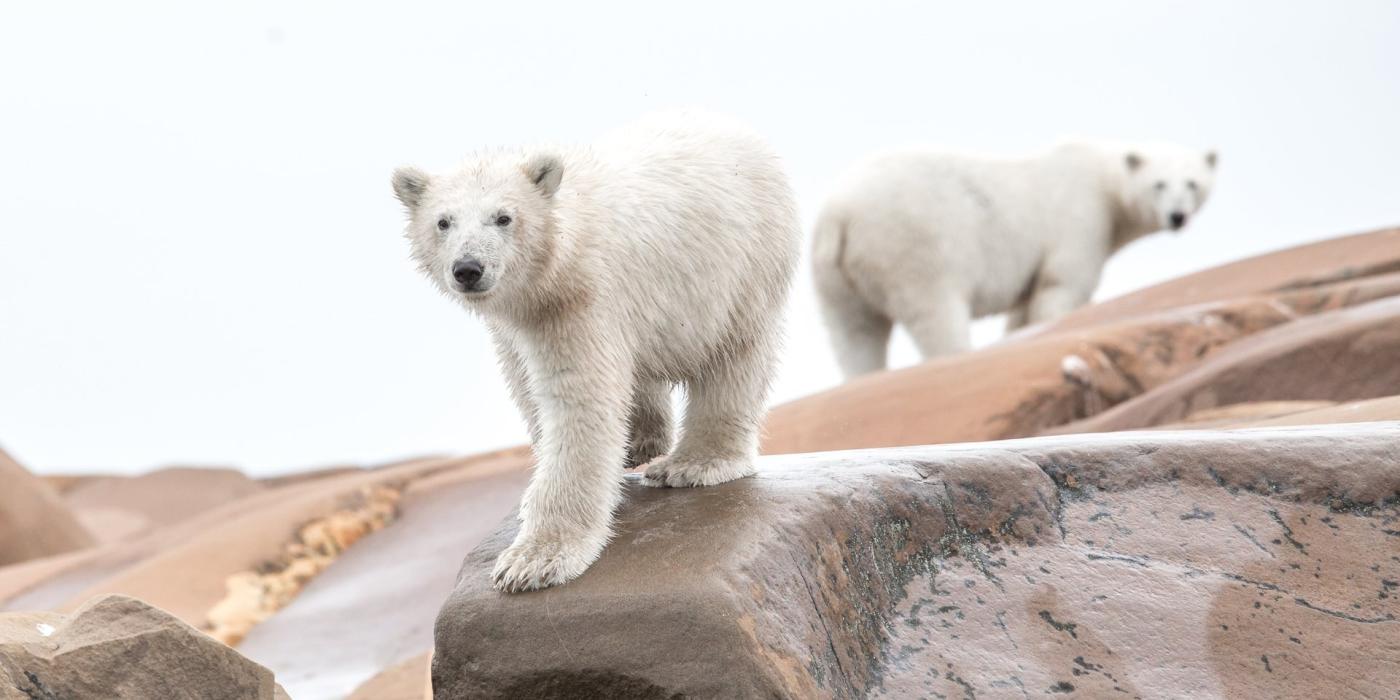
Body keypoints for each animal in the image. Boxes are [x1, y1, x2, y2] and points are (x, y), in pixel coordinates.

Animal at [392, 112, 800, 592]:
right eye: (444, 222)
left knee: (733, 359)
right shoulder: (517, 324)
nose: (468, 269)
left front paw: (532, 561)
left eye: (503, 217)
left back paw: (691, 464)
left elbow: (579, 402)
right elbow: (532, 391)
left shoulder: (582, 300)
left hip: (743, 269)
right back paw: (640, 443)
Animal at [811, 141, 1217, 378]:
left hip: (835, 277)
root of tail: (838, 214)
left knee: (855, 334)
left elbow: (1021, 312)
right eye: (1159, 184)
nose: (1177, 216)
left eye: (1192, 183)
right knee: (936, 313)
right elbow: (1060, 288)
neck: (1103, 184)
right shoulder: (1078, 224)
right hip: (913, 245)